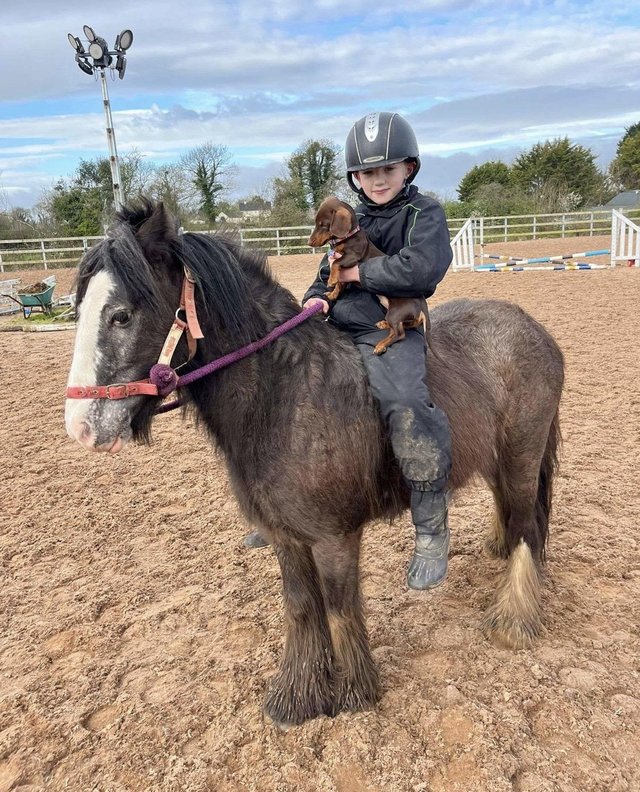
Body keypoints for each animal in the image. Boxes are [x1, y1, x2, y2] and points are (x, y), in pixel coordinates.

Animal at [64, 201, 564, 727]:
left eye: (121, 316)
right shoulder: (287, 536)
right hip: (496, 460)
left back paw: (514, 618)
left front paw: (355, 692)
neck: (285, 391)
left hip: (522, 457)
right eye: (79, 311)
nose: (80, 425)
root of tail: (533, 328)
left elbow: (341, 606)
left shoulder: (333, 536)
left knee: (527, 526)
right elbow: (302, 607)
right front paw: (299, 694)